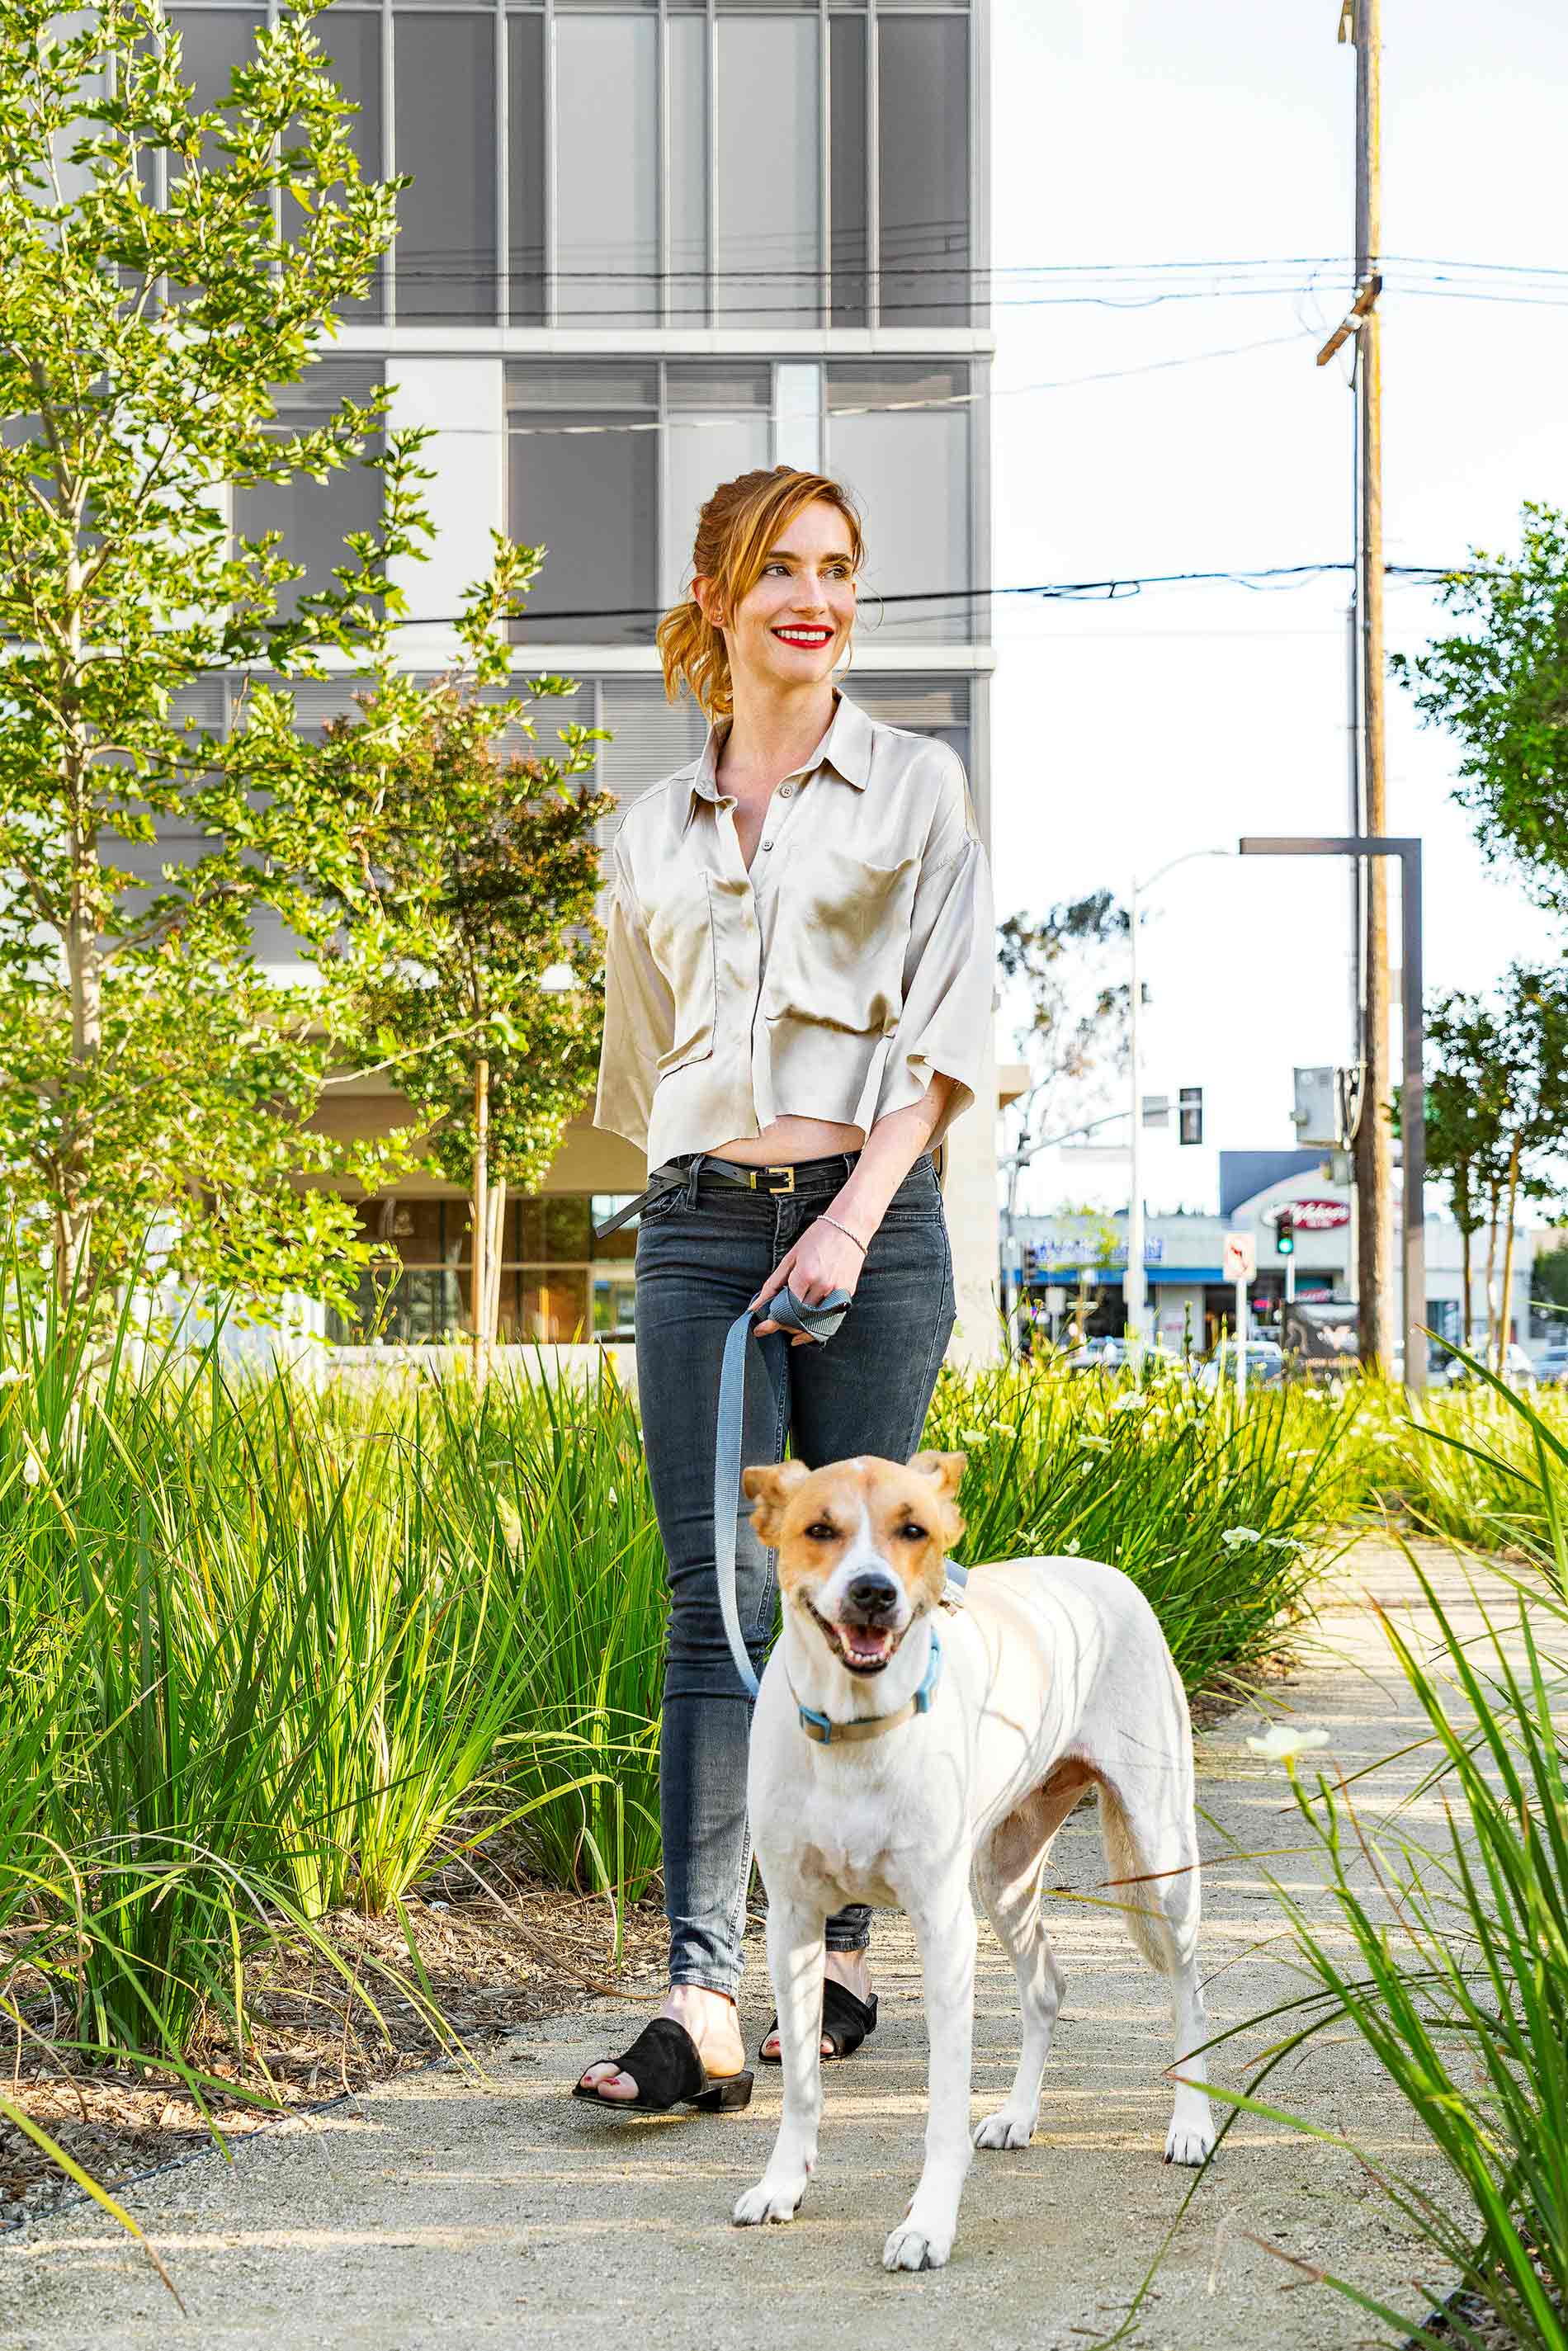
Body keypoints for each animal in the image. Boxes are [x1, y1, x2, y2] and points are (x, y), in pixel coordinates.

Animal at [733, 1438, 1212, 2266]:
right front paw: (783, 2185)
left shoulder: (943, 1930)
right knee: (1046, 1985)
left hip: (1160, 1854)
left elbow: (941, 2108)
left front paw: (928, 2222)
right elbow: (799, 2084)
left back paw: (1191, 2123)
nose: (873, 1592)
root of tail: (1106, 1571)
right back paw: (1018, 2114)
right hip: (1003, 1876)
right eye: (820, 1528)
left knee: (1190, 1985)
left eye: (913, 1528)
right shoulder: (791, 1925)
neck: (861, 1731)